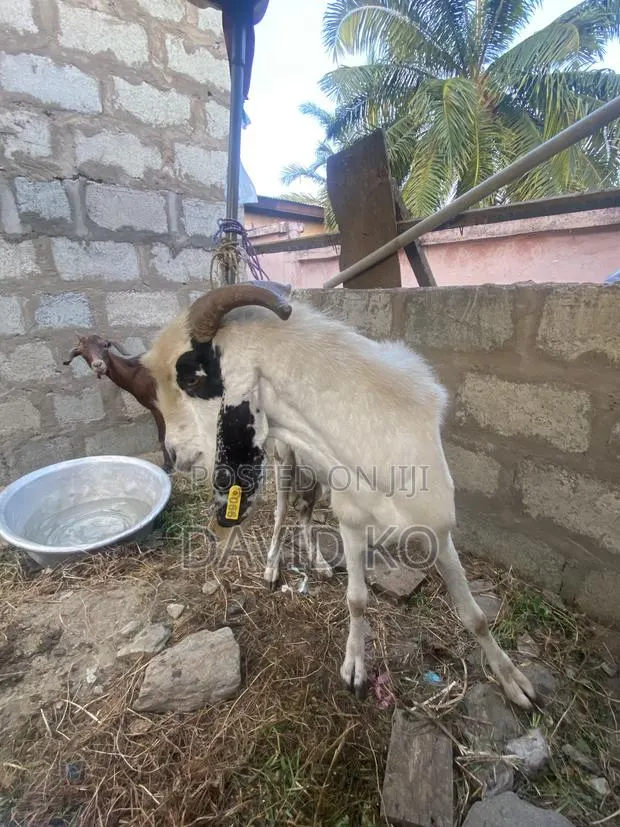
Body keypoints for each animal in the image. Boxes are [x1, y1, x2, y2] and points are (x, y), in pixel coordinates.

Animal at [63, 334, 174, 473]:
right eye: (82, 353)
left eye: (105, 345)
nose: (98, 365)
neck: (135, 372)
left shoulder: (157, 407)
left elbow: (162, 436)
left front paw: (167, 466)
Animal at [141, 281, 536, 709]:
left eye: (192, 378)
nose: (174, 454)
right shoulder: (351, 522)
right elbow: (358, 600)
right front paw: (354, 670)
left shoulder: (438, 529)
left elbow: (474, 614)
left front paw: (514, 682)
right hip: (285, 461)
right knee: (283, 513)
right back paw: (272, 569)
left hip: (315, 476)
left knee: (304, 510)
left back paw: (318, 563)